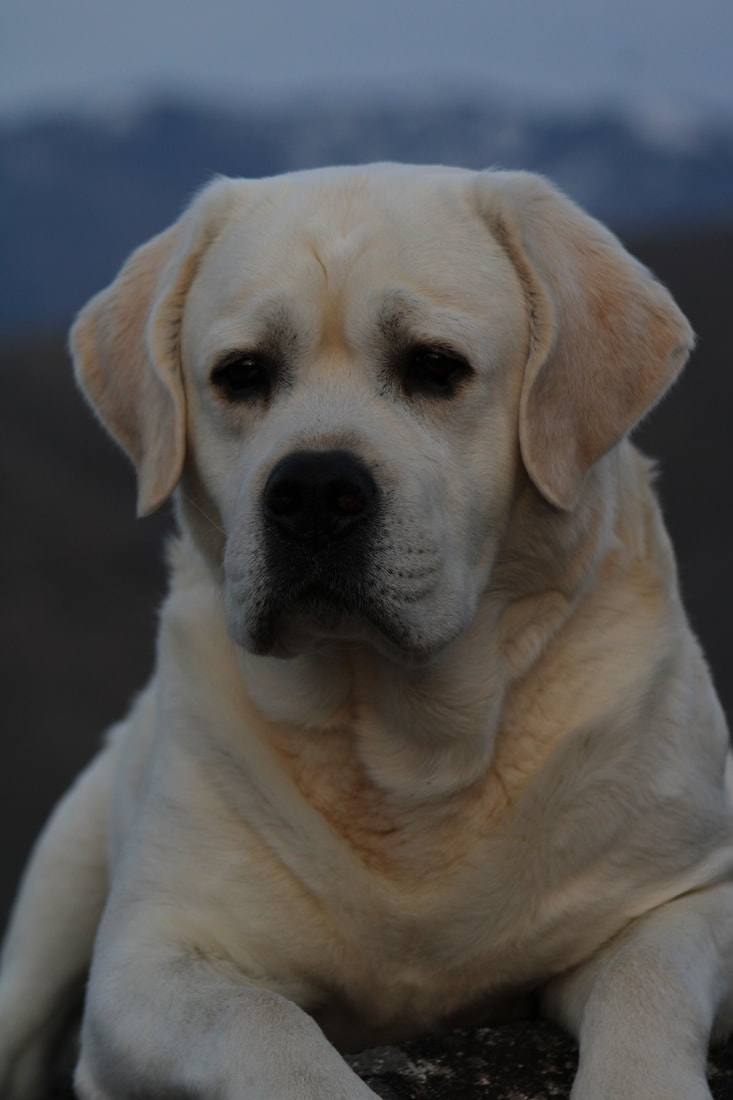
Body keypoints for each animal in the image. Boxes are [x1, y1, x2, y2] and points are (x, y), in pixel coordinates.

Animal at [1, 165, 730, 1100]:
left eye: (434, 366)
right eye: (240, 374)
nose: (312, 490)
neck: (403, 749)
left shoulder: (688, 894)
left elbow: (643, 981)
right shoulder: (150, 957)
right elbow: (265, 1023)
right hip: (59, 889)